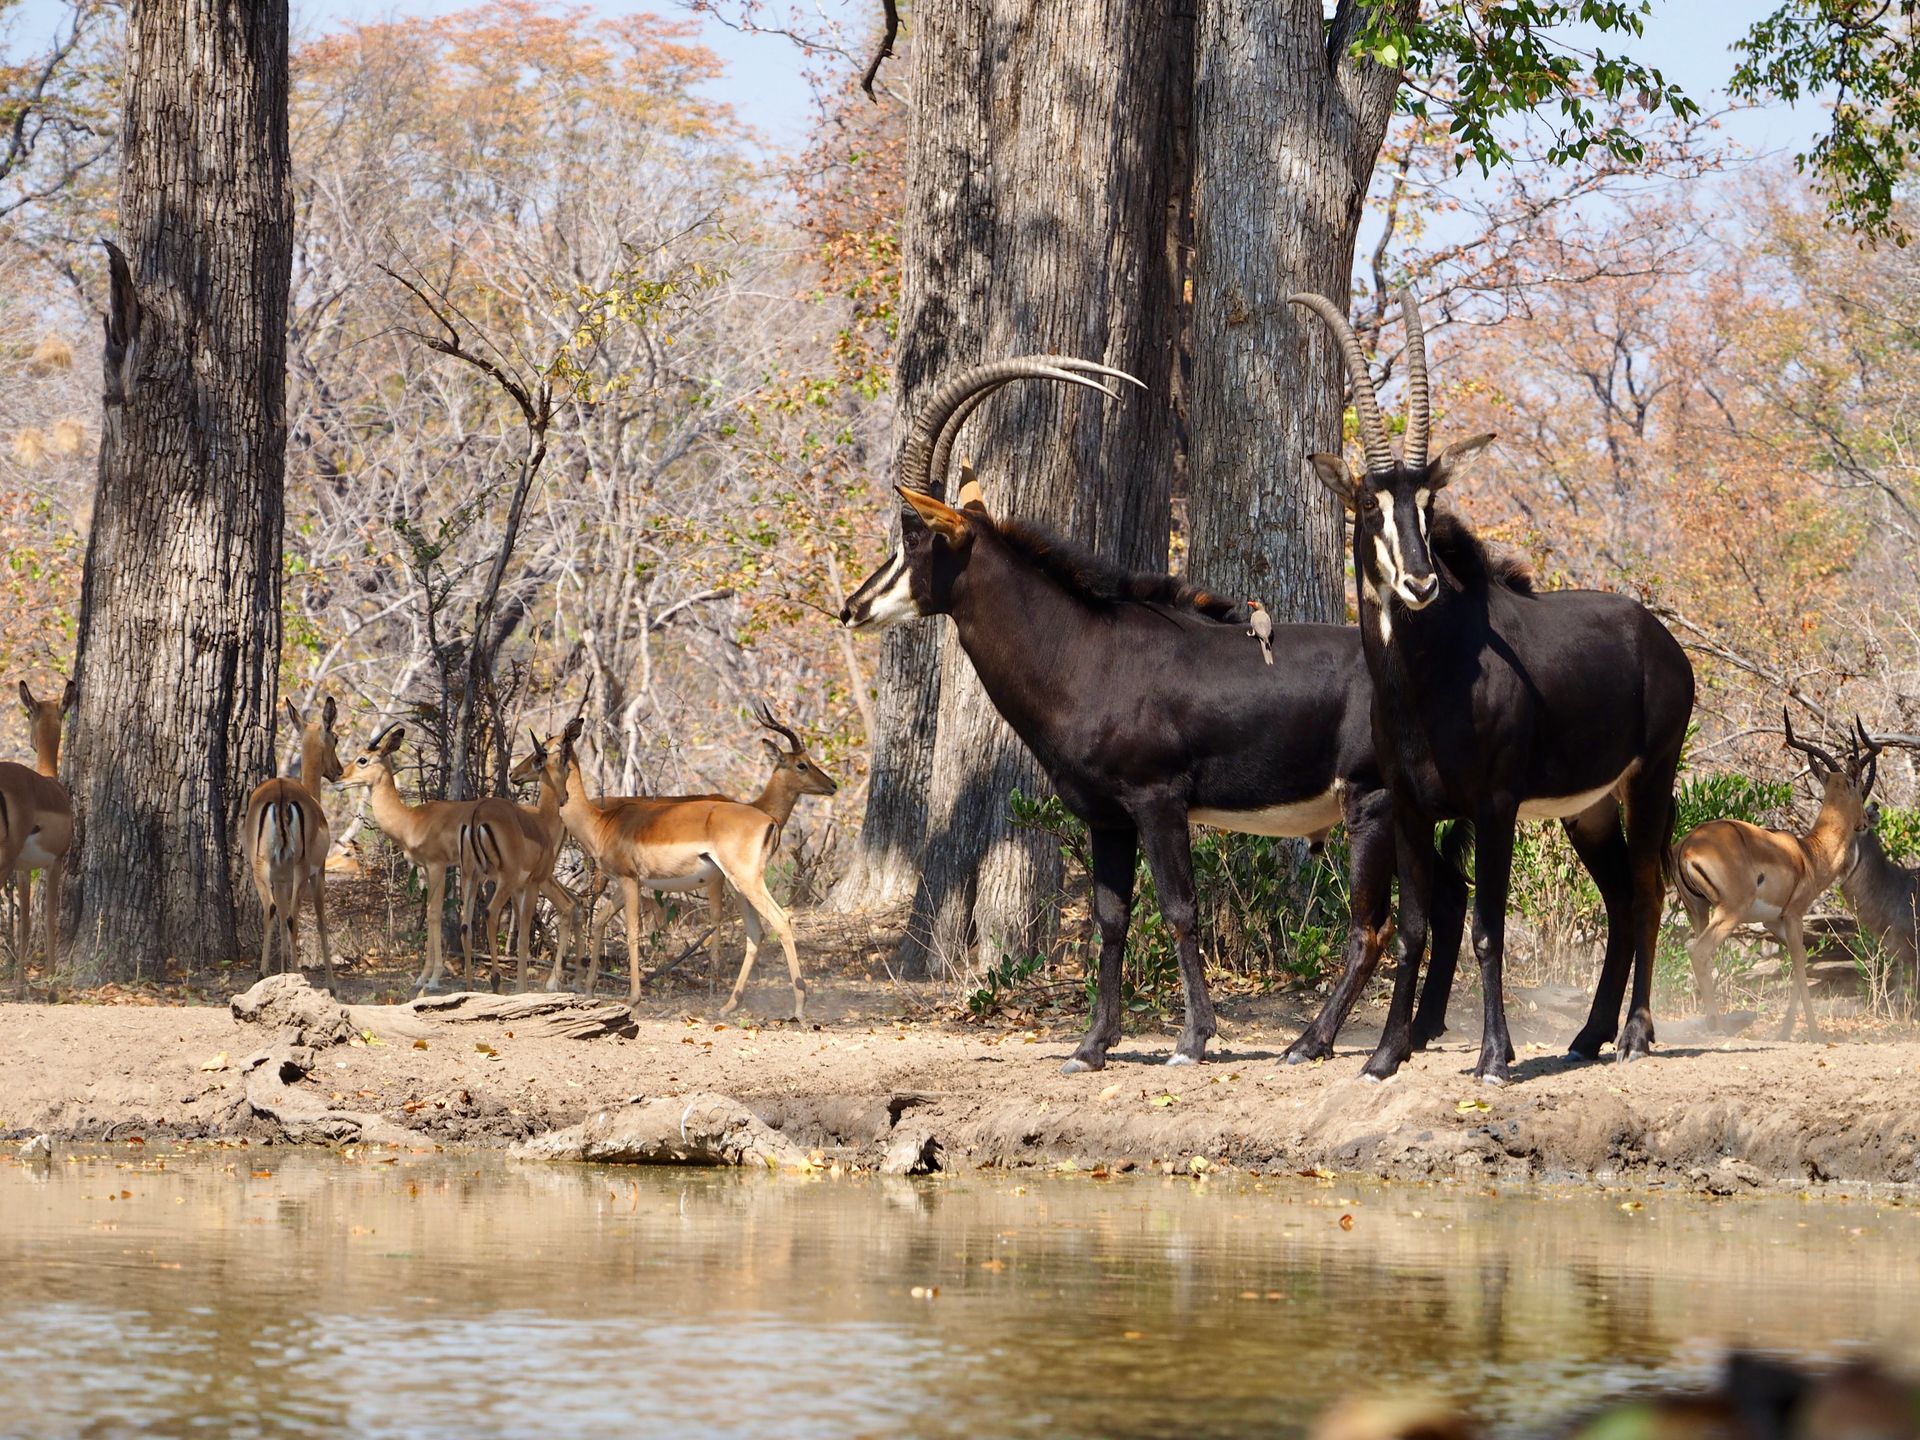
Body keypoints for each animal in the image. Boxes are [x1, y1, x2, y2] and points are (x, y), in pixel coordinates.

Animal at [242, 697, 344, 982]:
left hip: (261, 866)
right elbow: (320, 921)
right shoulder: (318, 872)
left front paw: (282, 971)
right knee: (292, 918)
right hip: (300, 868)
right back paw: (299, 975)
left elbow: (281, 915)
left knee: (271, 909)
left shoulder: (281, 878)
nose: (339, 770)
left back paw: (263, 974)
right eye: (335, 738)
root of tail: (281, 793)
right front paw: (331, 983)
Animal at [530, 716, 806, 1017]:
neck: (600, 823)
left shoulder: (628, 880)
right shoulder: (628, 882)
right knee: (756, 932)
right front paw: (589, 988)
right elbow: (601, 920)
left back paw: (798, 1008)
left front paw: (634, 998)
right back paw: (728, 1006)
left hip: (746, 881)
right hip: (738, 886)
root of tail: (769, 821)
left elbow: (633, 932)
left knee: (781, 920)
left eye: (548, 748)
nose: (527, 768)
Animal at [838, 356, 1471, 1072]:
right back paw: (1420, 1031)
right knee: (1450, 898)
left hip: (1371, 803)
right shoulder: (1108, 817)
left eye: (915, 537)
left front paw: (1192, 1040)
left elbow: (1179, 910)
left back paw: (1311, 1042)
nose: (852, 608)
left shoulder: (1157, 800)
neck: (1087, 650)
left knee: (1374, 925)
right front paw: (1091, 1046)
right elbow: (1111, 919)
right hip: (1410, 808)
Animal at [1294, 289, 1694, 1084]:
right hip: (1588, 809)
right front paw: (1385, 1055)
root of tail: (1659, 639)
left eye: (1428, 505)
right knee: (1618, 900)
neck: (1427, 678)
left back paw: (1635, 1034)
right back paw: (1588, 1036)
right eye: (1370, 506)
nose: (1419, 583)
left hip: (1651, 778)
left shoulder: (1495, 807)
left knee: (1646, 889)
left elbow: (1486, 929)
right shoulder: (1410, 807)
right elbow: (1415, 927)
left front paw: (1492, 1058)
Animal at [1673, 716, 1882, 1041]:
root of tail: (1687, 843)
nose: (1867, 819)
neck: (1810, 853)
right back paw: (1718, 1027)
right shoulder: (1794, 915)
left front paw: (1785, 1031)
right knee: (1699, 951)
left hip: (1698, 910)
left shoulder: (1774, 922)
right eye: (1859, 787)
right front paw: (1813, 1032)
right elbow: (1799, 961)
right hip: (1730, 911)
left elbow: (1801, 962)